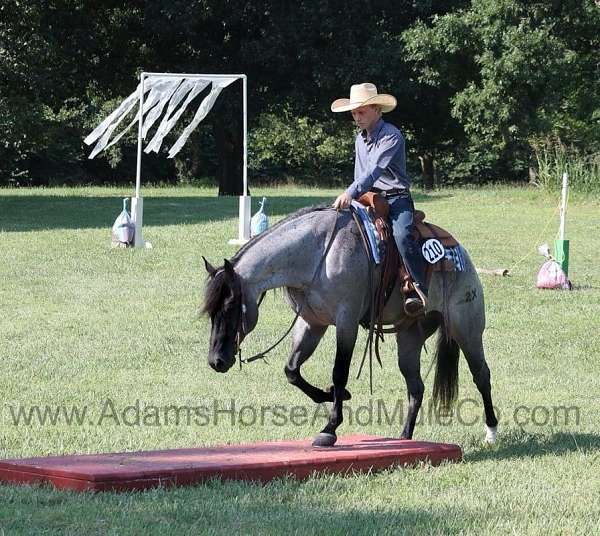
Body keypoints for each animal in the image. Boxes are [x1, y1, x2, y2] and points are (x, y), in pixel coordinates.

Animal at [204, 206, 500, 448]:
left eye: (230, 307)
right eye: (210, 311)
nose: (216, 361)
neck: (319, 253)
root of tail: (461, 254)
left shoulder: (346, 321)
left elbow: (339, 372)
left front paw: (330, 428)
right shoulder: (311, 323)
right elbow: (292, 370)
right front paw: (332, 395)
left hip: (466, 328)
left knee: (481, 375)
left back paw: (491, 432)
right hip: (409, 338)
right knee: (416, 387)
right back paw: (404, 438)